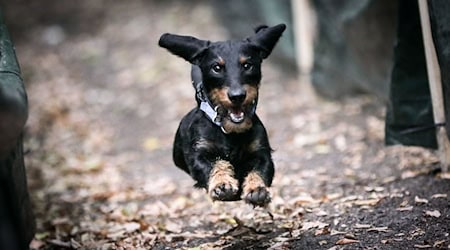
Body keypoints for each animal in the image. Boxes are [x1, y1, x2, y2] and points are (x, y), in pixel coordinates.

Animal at [158, 23, 284, 207]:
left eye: (247, 65)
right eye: (217, 67)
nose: (237, 96)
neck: (229, 130)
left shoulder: (261, 153)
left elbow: (258, 170)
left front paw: (256, 190)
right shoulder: (199, 153)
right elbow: (215, 164)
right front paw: (222, 185)